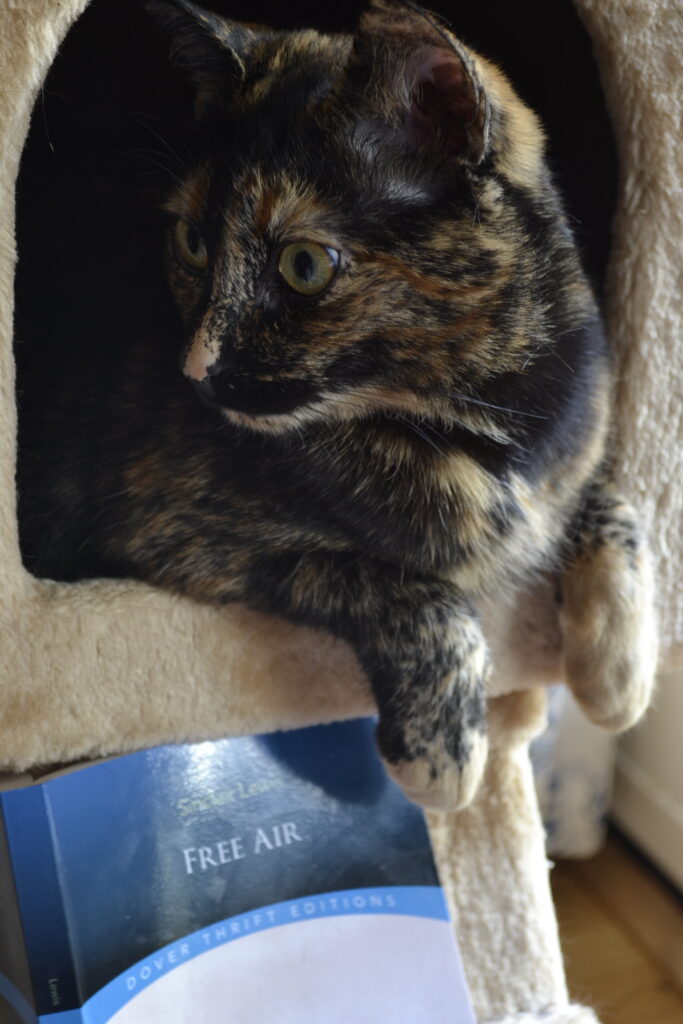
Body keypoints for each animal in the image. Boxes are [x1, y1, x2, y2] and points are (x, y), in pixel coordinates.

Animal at [17, 0, 655, 811]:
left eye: (304, 265)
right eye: (192, 243)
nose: (196, 370)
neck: (487, 429)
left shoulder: (576, 444)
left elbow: (616, 496)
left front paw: (616, 674)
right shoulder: (177, 531)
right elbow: (409, 590)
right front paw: (445, 756)